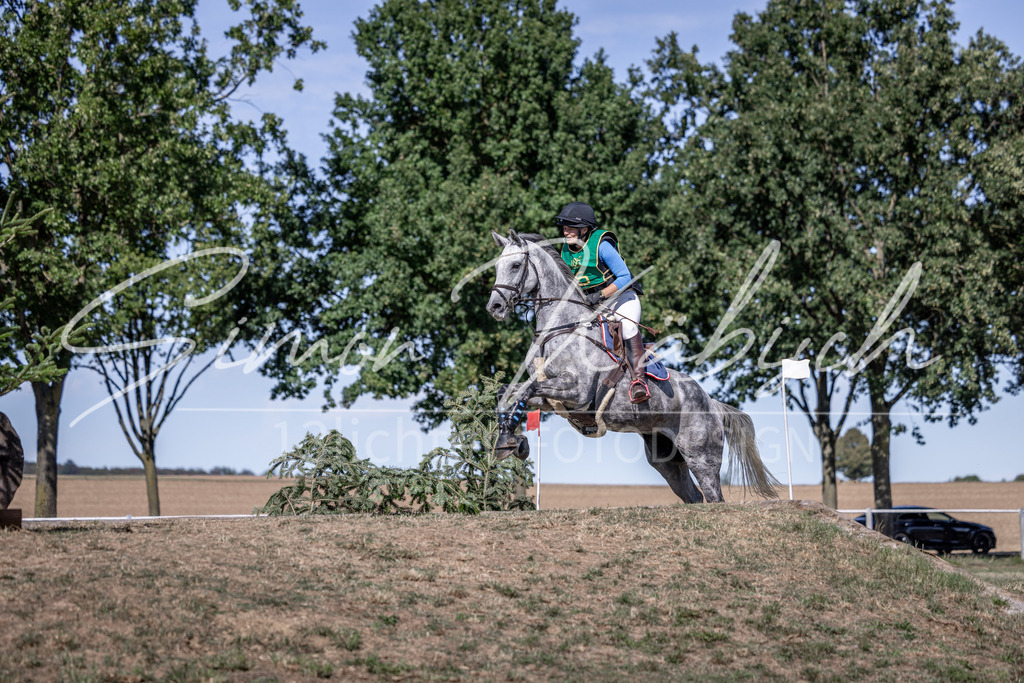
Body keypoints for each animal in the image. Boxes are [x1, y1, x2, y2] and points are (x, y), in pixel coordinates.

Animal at [485, 229, 779, 503]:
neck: (561, 327)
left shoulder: (576, 392)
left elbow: (525, 391)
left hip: (701, 455)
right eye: (498, 266)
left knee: (714, 496)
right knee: (693, 496)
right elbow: (507, 393)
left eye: (515, 265)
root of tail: (712, 403)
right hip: (666, 459)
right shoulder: (551, 399)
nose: (494, 307)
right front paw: (507, 440)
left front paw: (513, 441)